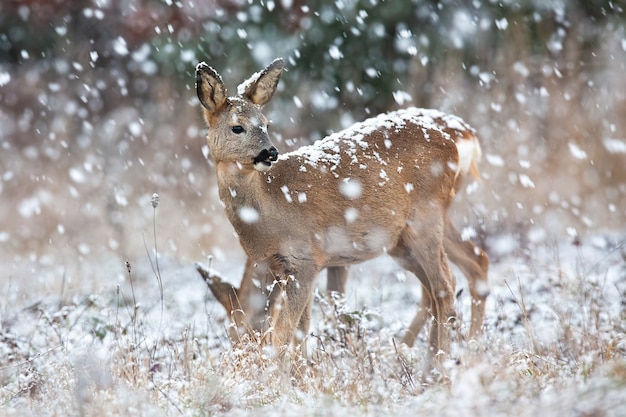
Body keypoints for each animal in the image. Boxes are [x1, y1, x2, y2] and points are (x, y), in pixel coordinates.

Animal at [193, 57, 476, 368]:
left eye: (266, 124)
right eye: (237, 127)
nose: (270, 153)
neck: (270, 212)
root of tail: (455, 142)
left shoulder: (305, 258)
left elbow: (283, 331)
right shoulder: (287, 266)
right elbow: (302, 326)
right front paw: (303, 369)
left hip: (426, 220)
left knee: (446, 285)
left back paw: (439, 365)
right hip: (402, 242)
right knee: (443, 285)